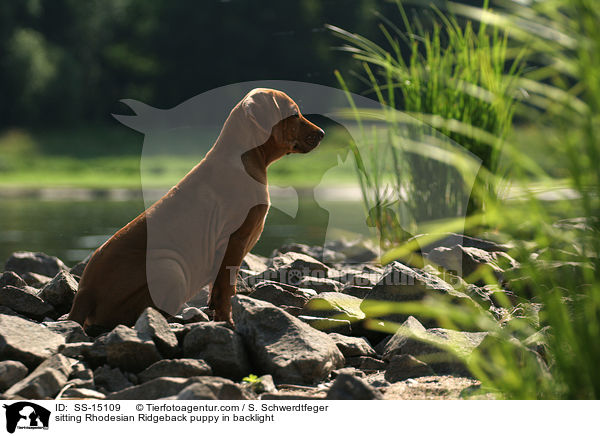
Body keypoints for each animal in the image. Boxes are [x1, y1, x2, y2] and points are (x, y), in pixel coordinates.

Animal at [67, 87, 324, 328]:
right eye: (294, 114)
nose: (322, 134)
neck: (245, 156)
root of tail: (84, 294)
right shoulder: (233, 240)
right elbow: (225, 288)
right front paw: (227, 322)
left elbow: (216, 290)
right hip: (171, 268)